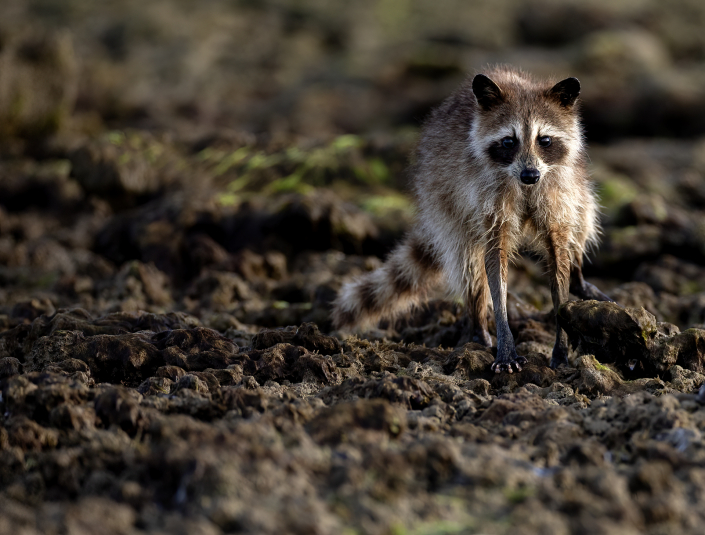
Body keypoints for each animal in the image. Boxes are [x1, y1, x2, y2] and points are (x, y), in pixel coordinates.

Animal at [330, 66, 612, 372]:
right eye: (509, 141)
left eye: (544, 140)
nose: (530, 175)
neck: (523, 184)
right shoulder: (486, 199)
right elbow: (493, 264)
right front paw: (504, 336)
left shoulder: (558, 192)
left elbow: (559, 255)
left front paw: (561, 337)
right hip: (443, 202)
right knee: (468, 264)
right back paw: (478, 326)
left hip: (579, 189)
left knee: (582, 223)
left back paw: (578, 276)